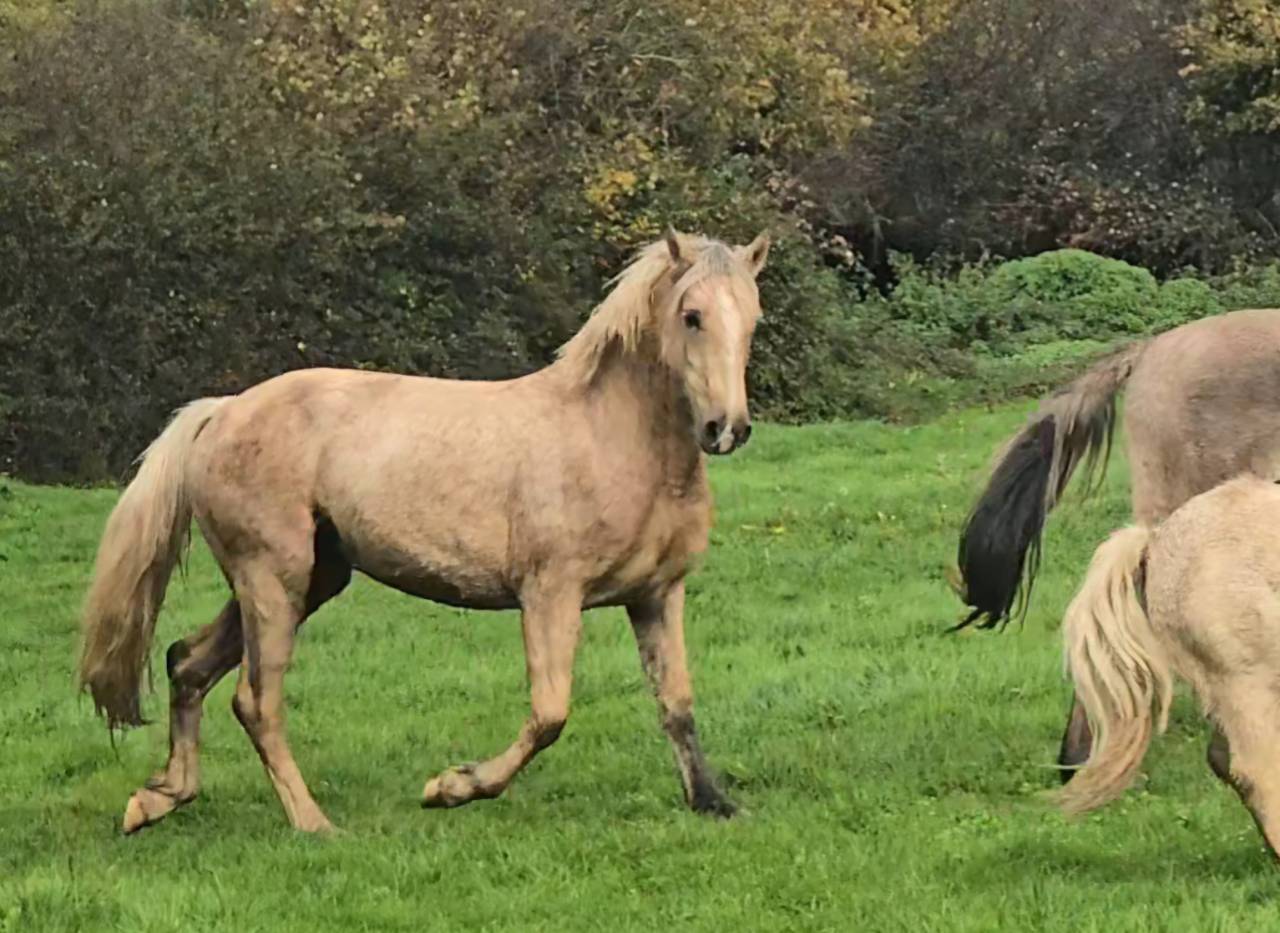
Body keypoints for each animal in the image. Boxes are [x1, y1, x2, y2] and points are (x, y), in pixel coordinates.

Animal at [77, 228, 771, 834]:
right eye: (692, 316)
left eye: (753, 318)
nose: (727, 429)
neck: (611, 438)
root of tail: (221, 411)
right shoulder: (550, 595)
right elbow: (550, 714)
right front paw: (450, 787)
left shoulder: (656, 595)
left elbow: (676, 704)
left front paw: (714, 803)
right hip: (272, 578)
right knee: (255, 701)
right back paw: (313, 824)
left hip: (308, 580)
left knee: (185, 662)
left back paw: (157, 800)